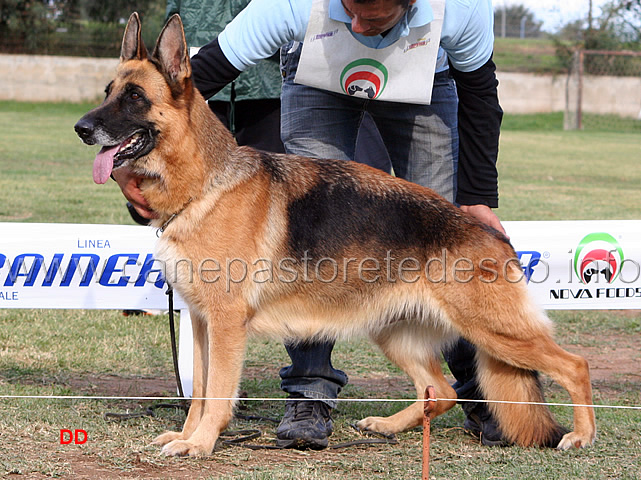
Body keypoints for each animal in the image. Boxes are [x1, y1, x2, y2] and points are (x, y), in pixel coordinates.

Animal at [75, 13, 596, 456]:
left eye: (135, 98)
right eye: (107, 91)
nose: (81, 128)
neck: (205, 184)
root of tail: (491, 235)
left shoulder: (224, 325)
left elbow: (217, 394)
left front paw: (201, 444)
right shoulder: (202, 324)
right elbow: (199, 391)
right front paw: (187, 437)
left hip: (494, 331)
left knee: (574, 365)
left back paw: (581, 436)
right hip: (394, 334)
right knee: (442, 389)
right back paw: (387, 426)